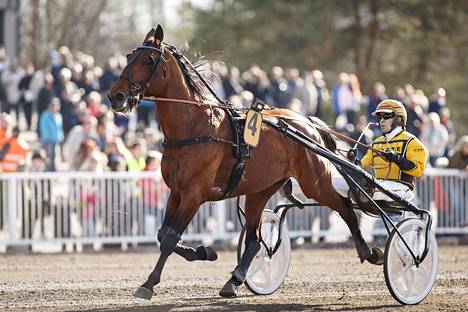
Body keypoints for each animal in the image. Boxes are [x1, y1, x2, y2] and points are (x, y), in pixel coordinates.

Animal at [108, 25, 382, 300]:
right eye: (128, 56)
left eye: (147, 60)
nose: (115, 95)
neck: (194, 127)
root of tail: (308, 123)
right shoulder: (177, 191)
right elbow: (163, 234)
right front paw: (204, 251)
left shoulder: (195, 194)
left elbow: (169, 239)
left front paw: (149, 283)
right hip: (261, 190)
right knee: (254, 240)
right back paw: (234, 280)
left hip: (315, 182)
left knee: (345, 208)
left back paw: (370, 252)